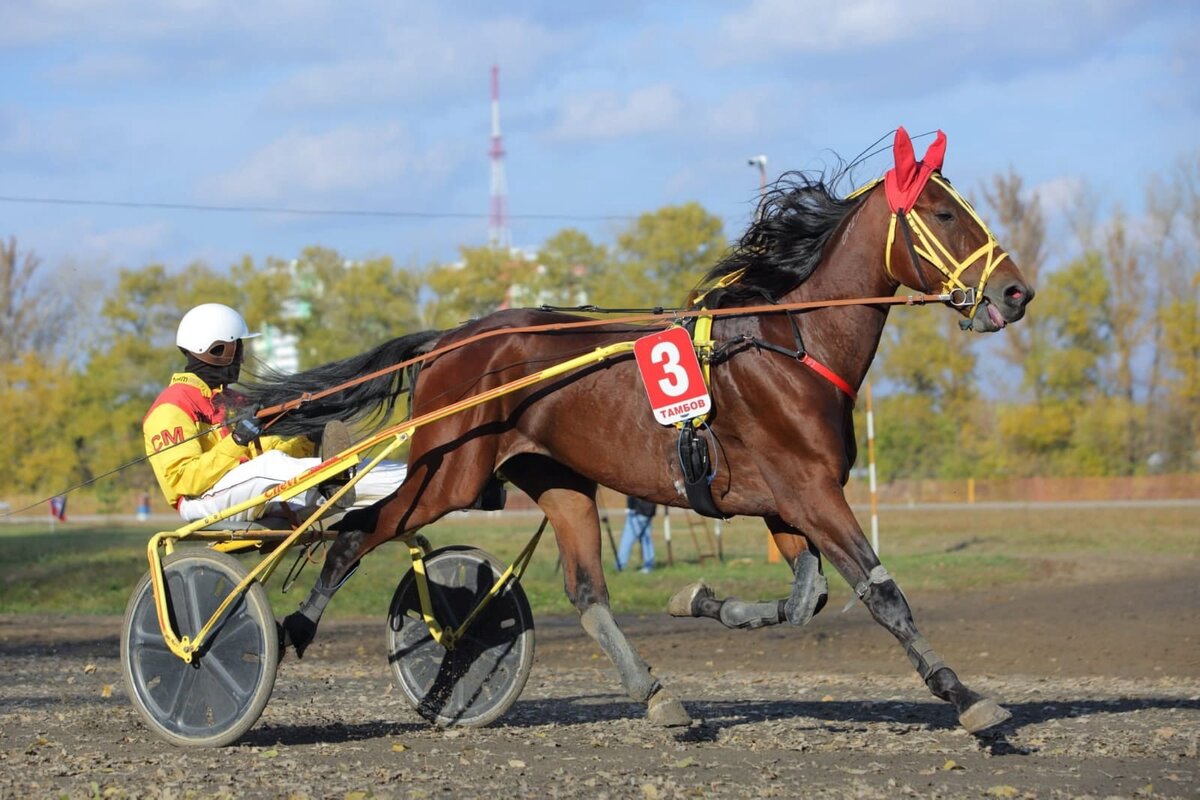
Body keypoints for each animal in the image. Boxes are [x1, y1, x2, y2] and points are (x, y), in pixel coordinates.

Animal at [241, 128, 1032, 734]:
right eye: (943, 213)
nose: (1016, 290)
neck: (793, 346)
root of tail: (455, 339)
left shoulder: (786, 504)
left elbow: (806, 599)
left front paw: (698, 599)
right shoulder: (811, 494)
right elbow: (882, 592)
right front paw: (966, 698)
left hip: (557, 480)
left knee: (587, 594)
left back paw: (657, 696)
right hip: (449, 473)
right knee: (356, 531)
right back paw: (295, 627)